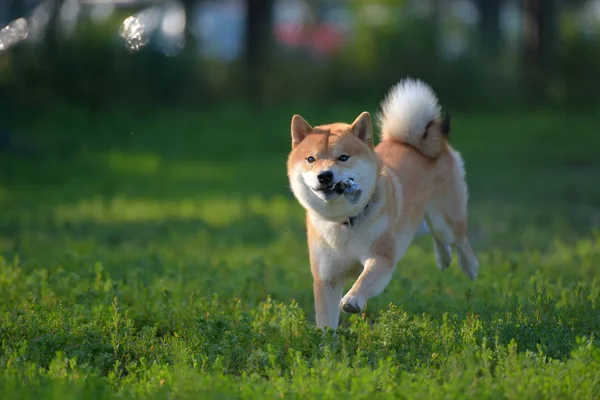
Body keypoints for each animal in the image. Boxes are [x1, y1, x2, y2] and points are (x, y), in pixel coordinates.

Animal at [288, 77, 480, 328]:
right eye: (311, 159)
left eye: (343, 157)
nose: (325, 176)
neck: (343, 222)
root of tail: (414, 143)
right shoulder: (326, 277)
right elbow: (326, 322)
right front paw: (325, 339)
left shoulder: (381, 258)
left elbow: (365, 279)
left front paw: (352, 299)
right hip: (418, 221)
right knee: (437, 236)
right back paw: (444, 258)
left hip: (444, 218)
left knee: (458, 239)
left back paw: (469, 266)